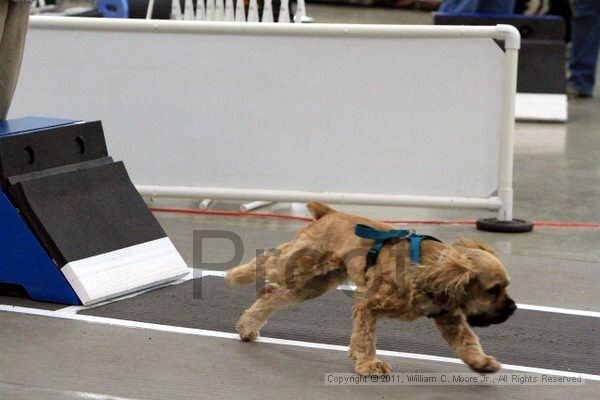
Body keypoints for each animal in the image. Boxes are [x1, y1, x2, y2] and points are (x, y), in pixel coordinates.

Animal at [225, 203, 516, 376]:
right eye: (493, 289)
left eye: (505, 287)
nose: (513, 309)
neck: (428, 271)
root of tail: (329, 212)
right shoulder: (368, 303)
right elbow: (365, 338)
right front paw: (368, 364)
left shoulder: (448, 317)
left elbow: (467, 341)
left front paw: (480, 361)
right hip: (297, 264)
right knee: (267, 262)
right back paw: (234, 276)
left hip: (312, 284)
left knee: (271, 294)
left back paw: (247, 326)